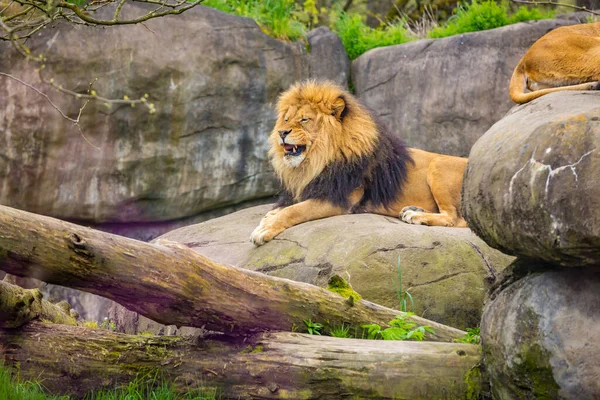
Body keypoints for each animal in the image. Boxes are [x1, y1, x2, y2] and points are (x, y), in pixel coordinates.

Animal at [250, 79, 468, 245]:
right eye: (286, 119)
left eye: (304, 119)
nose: (281, 132)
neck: (315, 163)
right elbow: (281, 208)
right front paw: (267, 219)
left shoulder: (339, 199)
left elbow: (293, 211)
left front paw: (264, 229)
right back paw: (413, 210)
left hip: (439, 166)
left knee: (454, 219)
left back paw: (416, 216)